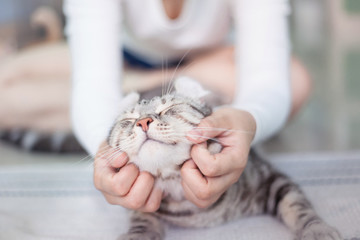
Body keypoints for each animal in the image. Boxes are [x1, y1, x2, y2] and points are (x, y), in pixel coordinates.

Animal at [106, 77, 340, 240]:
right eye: (129, 120)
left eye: (169, 108)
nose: (143, 121)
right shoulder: (140, 203)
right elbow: (141, 218)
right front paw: (136, 235)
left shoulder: (272, 179)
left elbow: (298, 207)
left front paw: (318, 230)